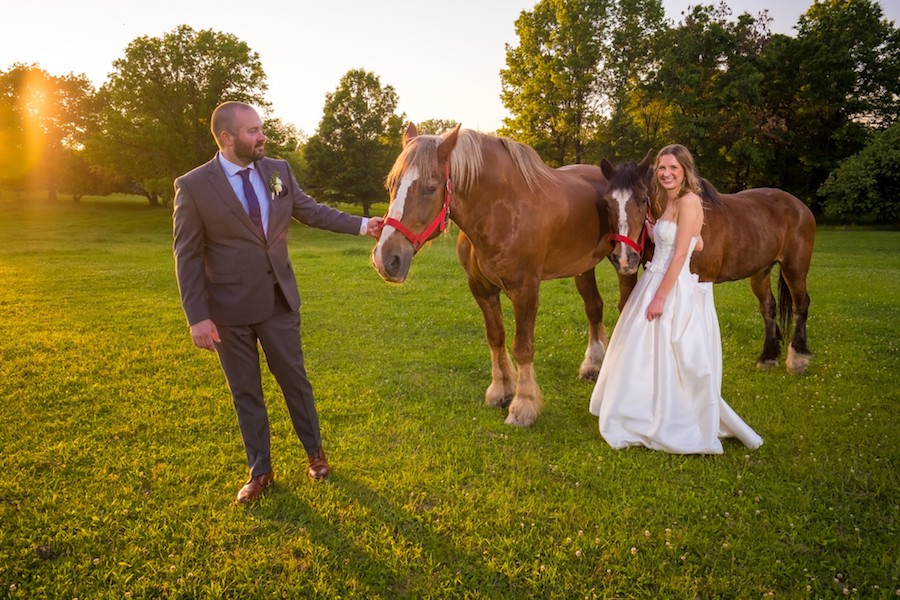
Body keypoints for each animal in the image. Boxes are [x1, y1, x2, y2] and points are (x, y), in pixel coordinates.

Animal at [370, 124, 636, 426]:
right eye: (391, 185)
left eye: (430, 188)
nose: (386, 259)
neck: (499, 211)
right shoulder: (482, 289)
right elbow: (495, 337)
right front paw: (500, 391)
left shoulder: (525, 291)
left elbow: (523, 347)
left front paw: (523, 406)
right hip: (583, 266)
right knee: (594, 308)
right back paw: (593, 364)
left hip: (625, 262)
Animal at [596, 155, 816, 372]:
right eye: (607, 203)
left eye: (642, 200)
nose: (624, 258)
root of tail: (799, 206)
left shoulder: (702, 279)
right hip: (761, 271)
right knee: (768, 307)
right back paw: (768, 356)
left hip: (794, 269)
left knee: (801, 304)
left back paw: (798, 358)